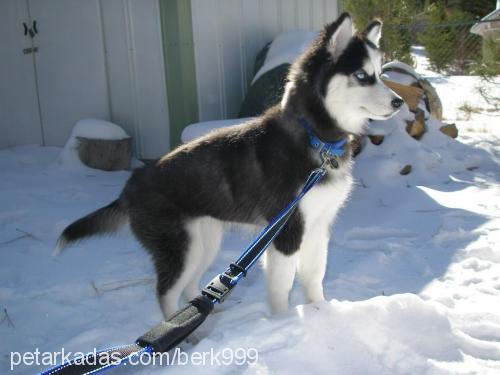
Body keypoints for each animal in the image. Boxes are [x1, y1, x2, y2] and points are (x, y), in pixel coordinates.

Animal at [56, 13, 402, 318]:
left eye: (380, 73)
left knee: (190, 286)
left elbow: (314, 276)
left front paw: (321, 312)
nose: (399, 102)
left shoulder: (318, 226)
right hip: (180, 247)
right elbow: (281, 288)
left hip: (204, 241)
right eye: (362, 75)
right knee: (166, 292)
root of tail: (129, 186)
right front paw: (284, 322)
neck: (316, 138)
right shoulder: (286, 231)